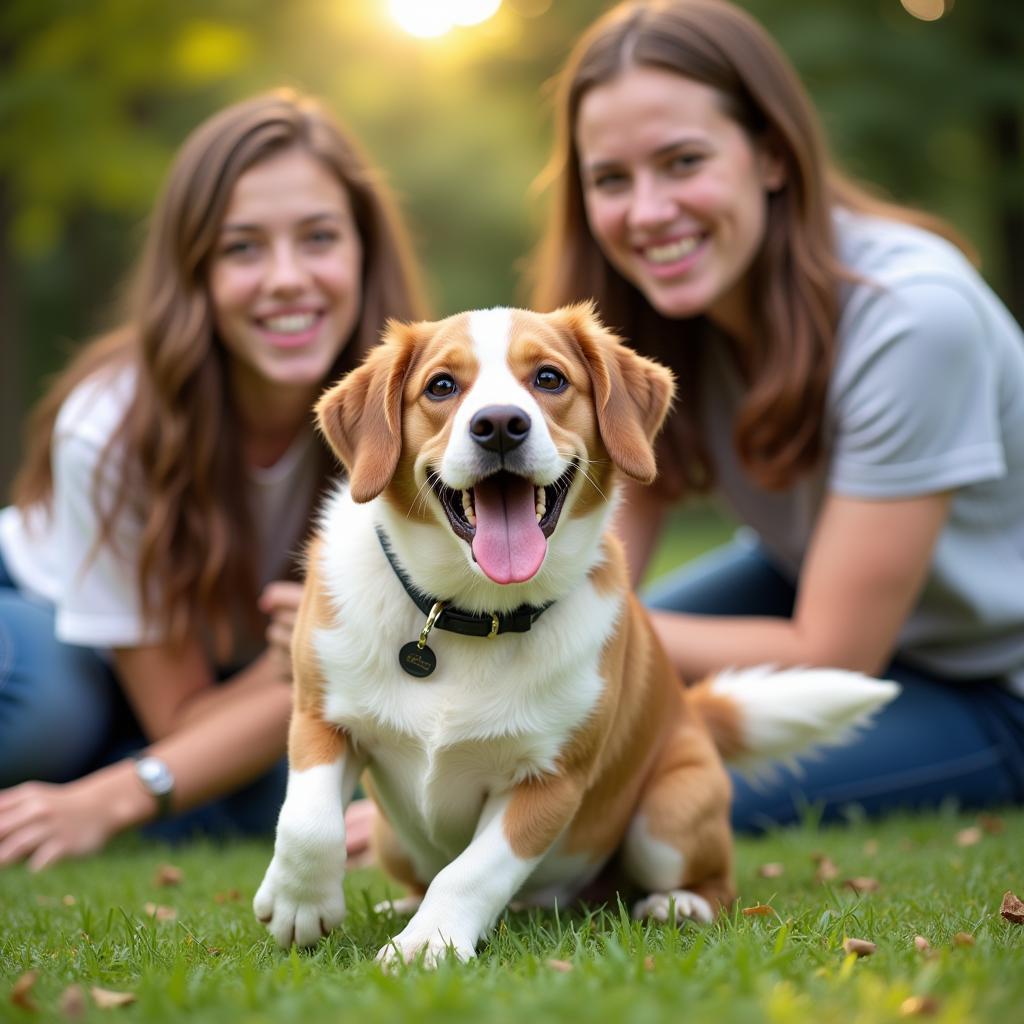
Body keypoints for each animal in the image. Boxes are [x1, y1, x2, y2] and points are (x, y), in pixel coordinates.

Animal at [249, 303, 897, 966]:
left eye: (549, 378)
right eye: (441, 386)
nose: (500, 425)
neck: (470, 615)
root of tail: (689, 710)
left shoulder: (550, 781)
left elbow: (469, 873)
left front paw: (427, 944)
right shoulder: (320, 718)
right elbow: (307, 822)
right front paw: (301, 903)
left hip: (668, 813)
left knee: (712, 880)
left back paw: (679, 904)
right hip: (392, 837)